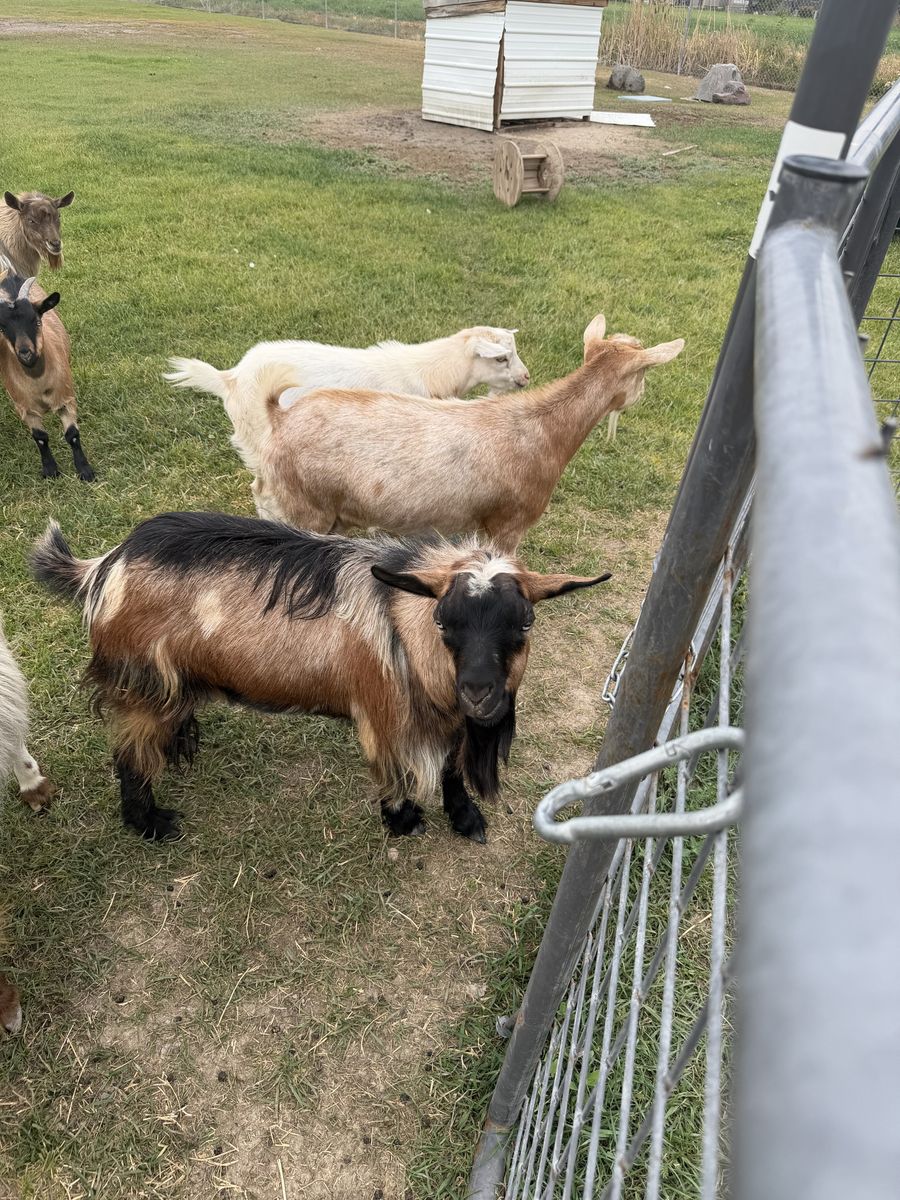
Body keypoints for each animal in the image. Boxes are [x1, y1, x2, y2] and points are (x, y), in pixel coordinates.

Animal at [0, 271, 95, 481]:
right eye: (2, 329)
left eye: (37, 320)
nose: (25, 353)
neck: (39, 384)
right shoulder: (26, 409)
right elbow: (41, 438)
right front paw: (51, 470)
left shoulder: (66, 398)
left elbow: (72, 434)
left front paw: (85, 471)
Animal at [31, 513, 609, 844]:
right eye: (444, 621)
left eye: (525, 623)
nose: (479, 691)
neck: (404, 627)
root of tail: (105, 566)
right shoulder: (385, 714)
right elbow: (396, 773)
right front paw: (403, 821)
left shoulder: (447, 717)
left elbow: (450, 768)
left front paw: (465, 818)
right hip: (141, 683)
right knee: (128, 750)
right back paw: (150, 822)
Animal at [249, 315, 684, 552]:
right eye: (644, 373)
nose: (640, 397)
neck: (543, 428)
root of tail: (278, 419)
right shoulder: (509, 524)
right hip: (306, 509)